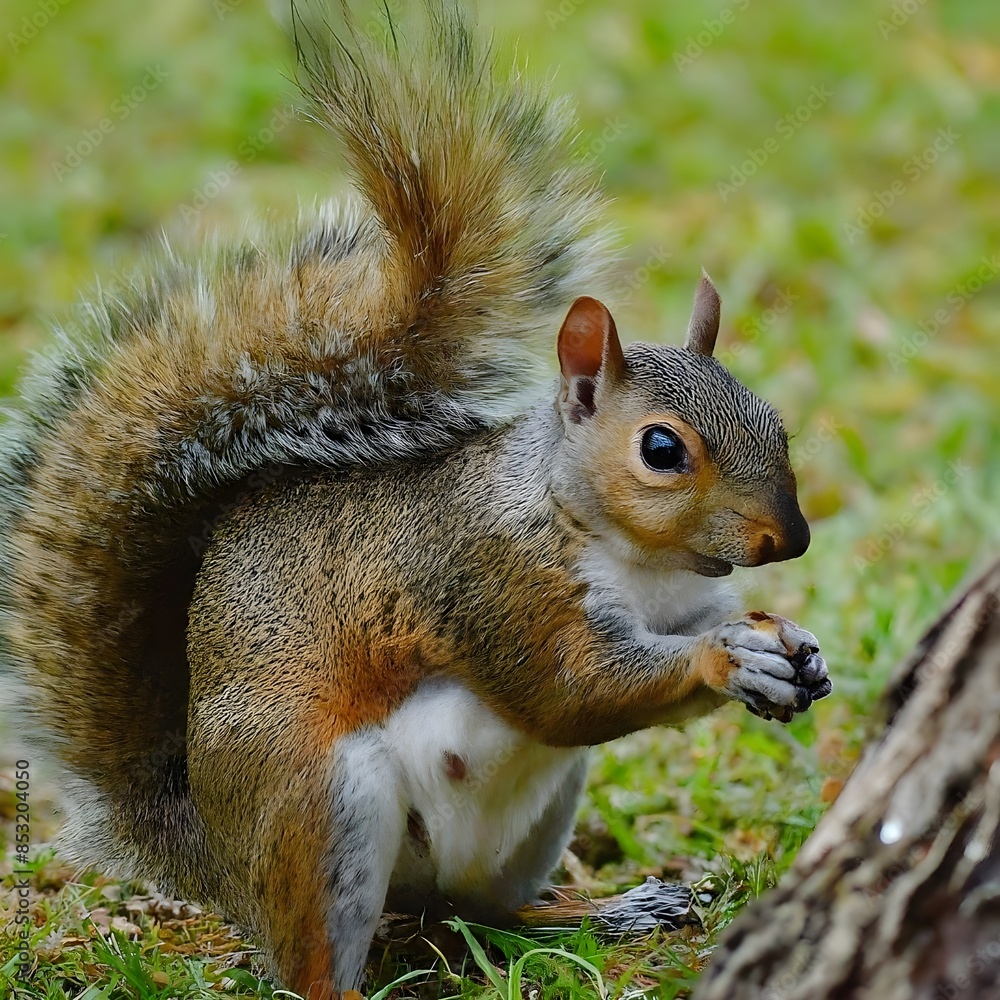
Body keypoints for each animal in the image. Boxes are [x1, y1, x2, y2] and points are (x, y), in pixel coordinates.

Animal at [1, 4, 830, 998]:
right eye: (662, 450)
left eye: (775, 421)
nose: (790, 539)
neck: (637, 559)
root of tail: (213, 854)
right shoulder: (492, 580)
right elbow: (569, 692)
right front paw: (723, 660)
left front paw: (795, 648)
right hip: (322, 806)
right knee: (317, 961)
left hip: (530, 819)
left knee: (480, 908)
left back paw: (607, 911)